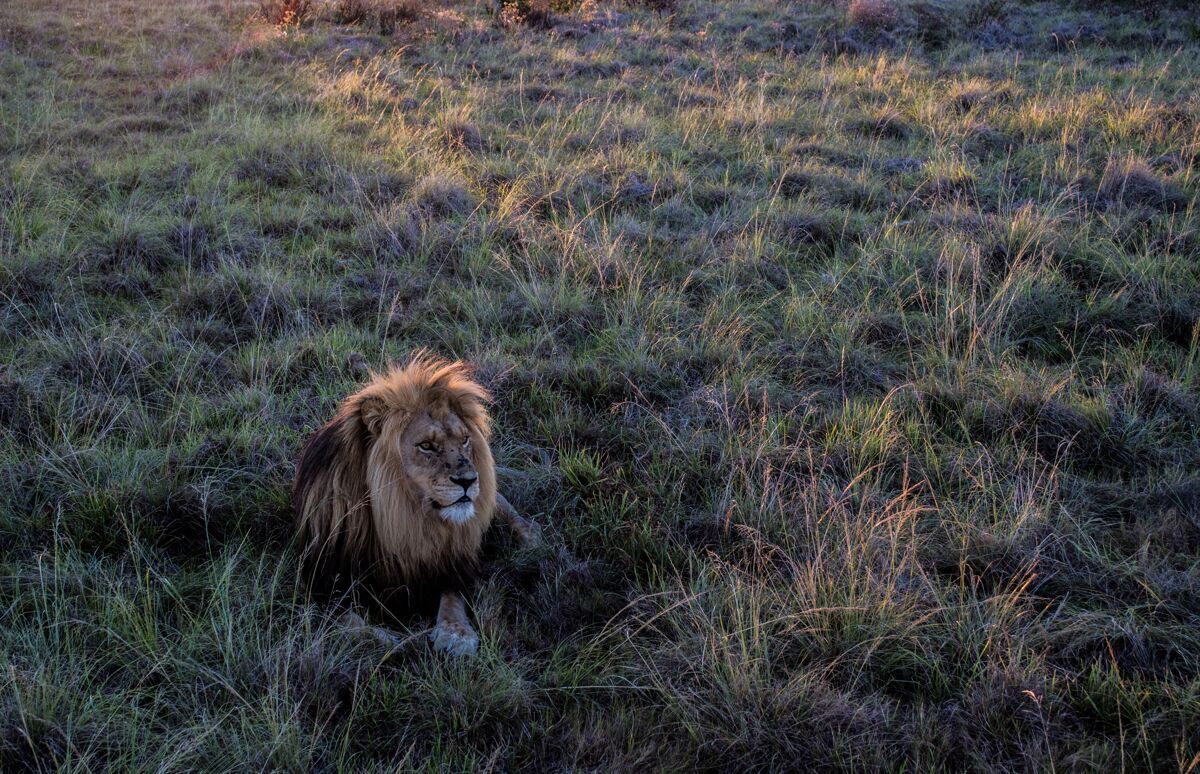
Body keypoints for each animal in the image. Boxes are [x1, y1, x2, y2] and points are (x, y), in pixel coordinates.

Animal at [290, 355, 535, 652]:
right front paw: (391, 640)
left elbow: (451, 594)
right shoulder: (323, 579)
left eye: (465, 439)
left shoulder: (450, 560)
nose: (468, 480)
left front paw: (456, 633)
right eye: (426, 445)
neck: (405, 516)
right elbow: (347, 621)